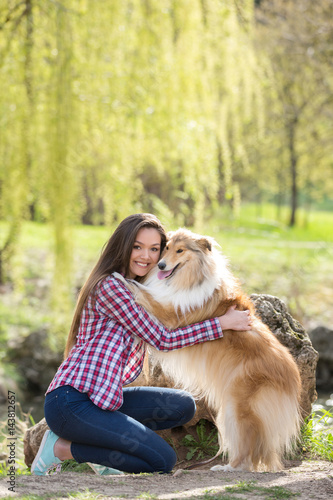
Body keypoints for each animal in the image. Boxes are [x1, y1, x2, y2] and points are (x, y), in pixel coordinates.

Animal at [117, 229, 300, 470]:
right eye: (166, 248)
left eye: (180, 250)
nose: (161, 265)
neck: (189, 279)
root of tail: (293, 377)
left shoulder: (170, 316)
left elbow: (143, 292)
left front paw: (121, 278)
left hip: (238, 406)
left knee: (247, 445)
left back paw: (230, 467)